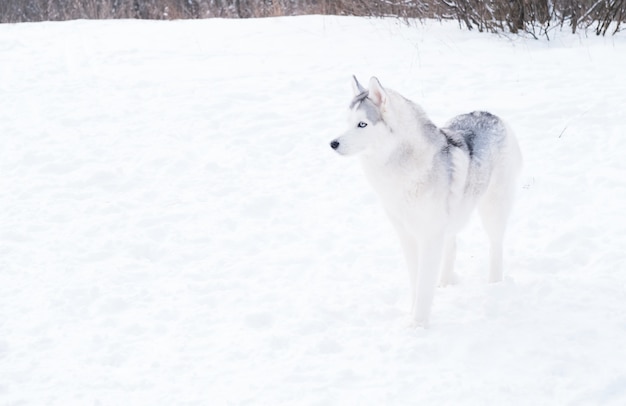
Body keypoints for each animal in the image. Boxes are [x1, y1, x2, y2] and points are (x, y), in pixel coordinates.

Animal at [330, 76, 520, 326]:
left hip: (492, 210)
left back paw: (495, 285)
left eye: (362, 124)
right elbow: (416, 281)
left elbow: (423, 285)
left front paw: (418, 325)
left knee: (496, 245)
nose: (333, 143)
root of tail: (491, 114)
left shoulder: (429, 237)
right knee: (452, 245)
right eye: (347, 122)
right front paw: (413, 315)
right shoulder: (408, 236)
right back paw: (445, 283)